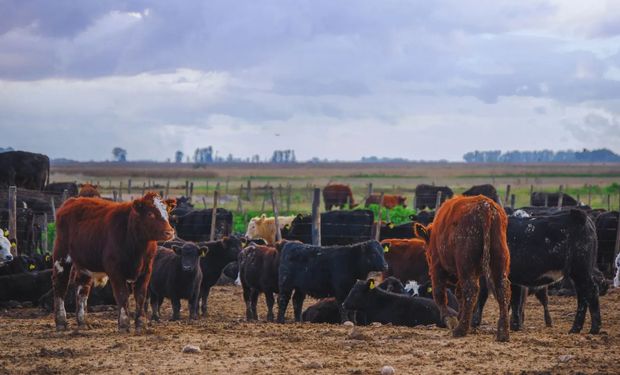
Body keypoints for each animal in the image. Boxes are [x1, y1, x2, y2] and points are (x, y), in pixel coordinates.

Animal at [51, 192, 176, 334]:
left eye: (167, 212)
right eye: (150, 213)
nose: (169, 232)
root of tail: (72, 201)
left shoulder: (146, 269)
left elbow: (140, 295)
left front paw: (140, 324)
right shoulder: (115, 270)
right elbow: (122, 295)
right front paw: (124, 324)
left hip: (85, 264)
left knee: (82, 289)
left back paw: (83, 322)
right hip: (61, 255)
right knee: (60, 286)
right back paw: (61, 322)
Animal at [414, 195, 512, 342]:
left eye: (427, 252)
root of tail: (485, 206)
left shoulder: (437, 268)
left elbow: (439, 294)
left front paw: (450, 319)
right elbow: (460, 295)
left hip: (465, 264)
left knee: (471, 290)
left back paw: (460, 329)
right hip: (498, 262)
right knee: (502, 289)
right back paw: (503, 333)